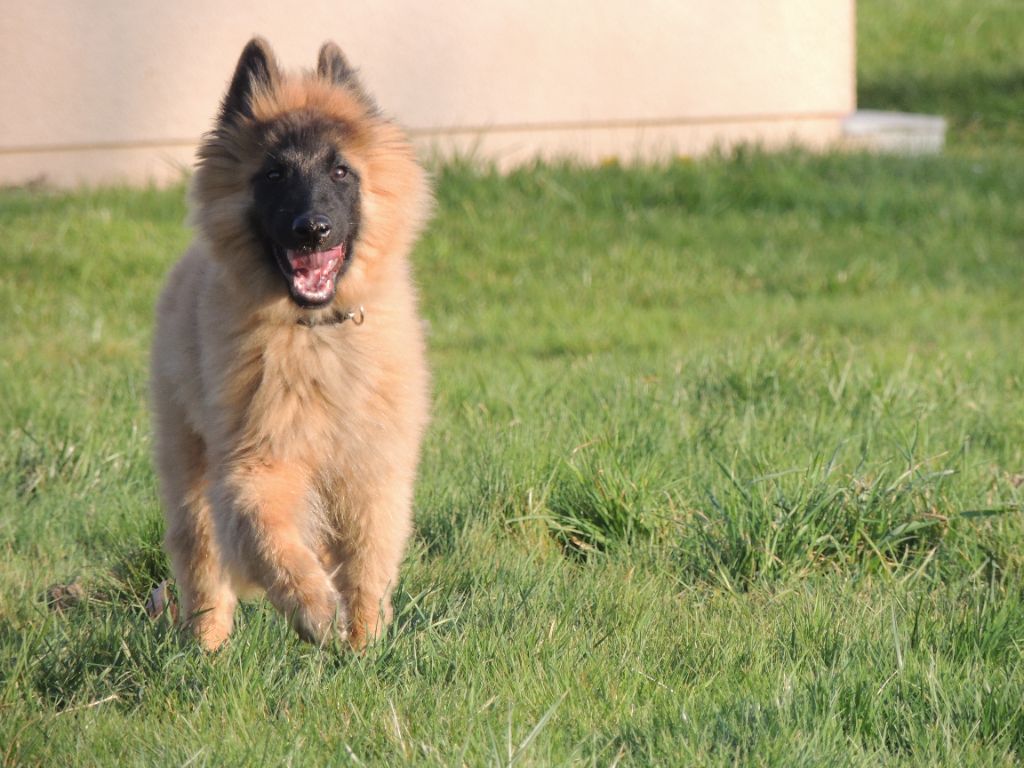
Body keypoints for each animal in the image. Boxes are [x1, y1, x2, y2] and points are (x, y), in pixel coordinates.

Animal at [149, 36, 430, 651]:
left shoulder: (371, 472)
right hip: (188, 460)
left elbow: (369, 562)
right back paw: (205, 647)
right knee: (202, 559)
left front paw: (365, 642)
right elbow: (266, 534)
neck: (318, 334)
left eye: (341, 170)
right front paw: (315, 609)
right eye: (274, 175)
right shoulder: (256, 461)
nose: (312, 229)